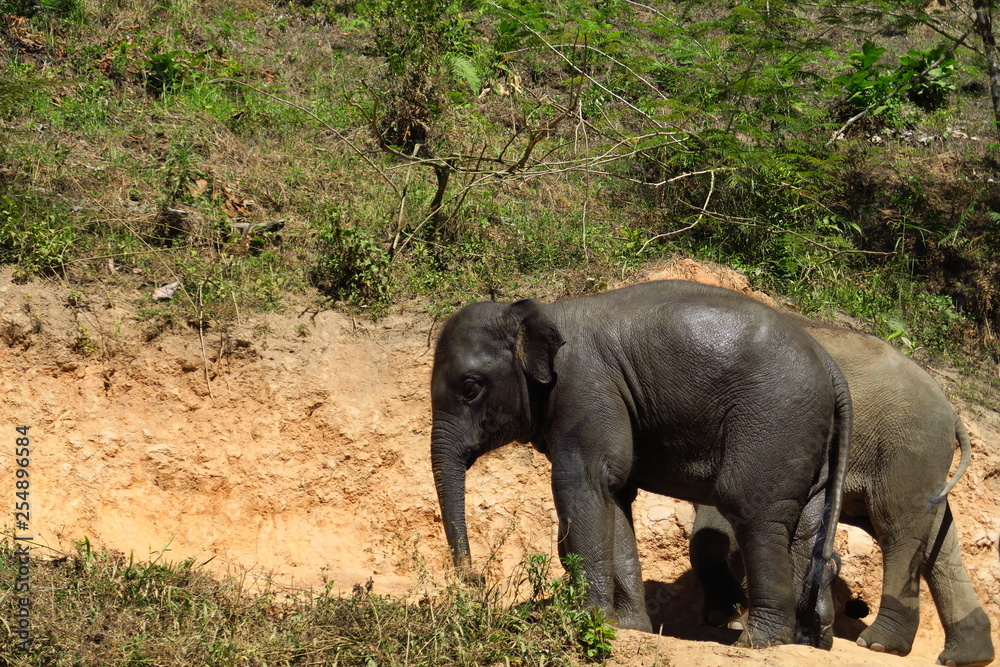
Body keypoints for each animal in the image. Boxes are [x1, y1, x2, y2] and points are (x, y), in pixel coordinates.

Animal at [430, 280, 853, 649]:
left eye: (470, 387)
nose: (477, 580)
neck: (544, 311)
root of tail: (832, 367)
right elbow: (615, 492)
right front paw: (628, 627)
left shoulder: (586, 387)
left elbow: (583, 481)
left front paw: (587, 621)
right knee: (805, 523)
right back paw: (801, 641)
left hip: (775, 420)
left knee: (752, 508)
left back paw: (759, 642)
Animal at [690, 311, 994, 667]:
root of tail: (954, 413)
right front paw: (733, 617)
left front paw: (727, 617)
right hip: (922, 465)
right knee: (938, 540)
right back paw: (968, 655)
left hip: (908, 449)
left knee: (897, 528)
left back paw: (880, 644)